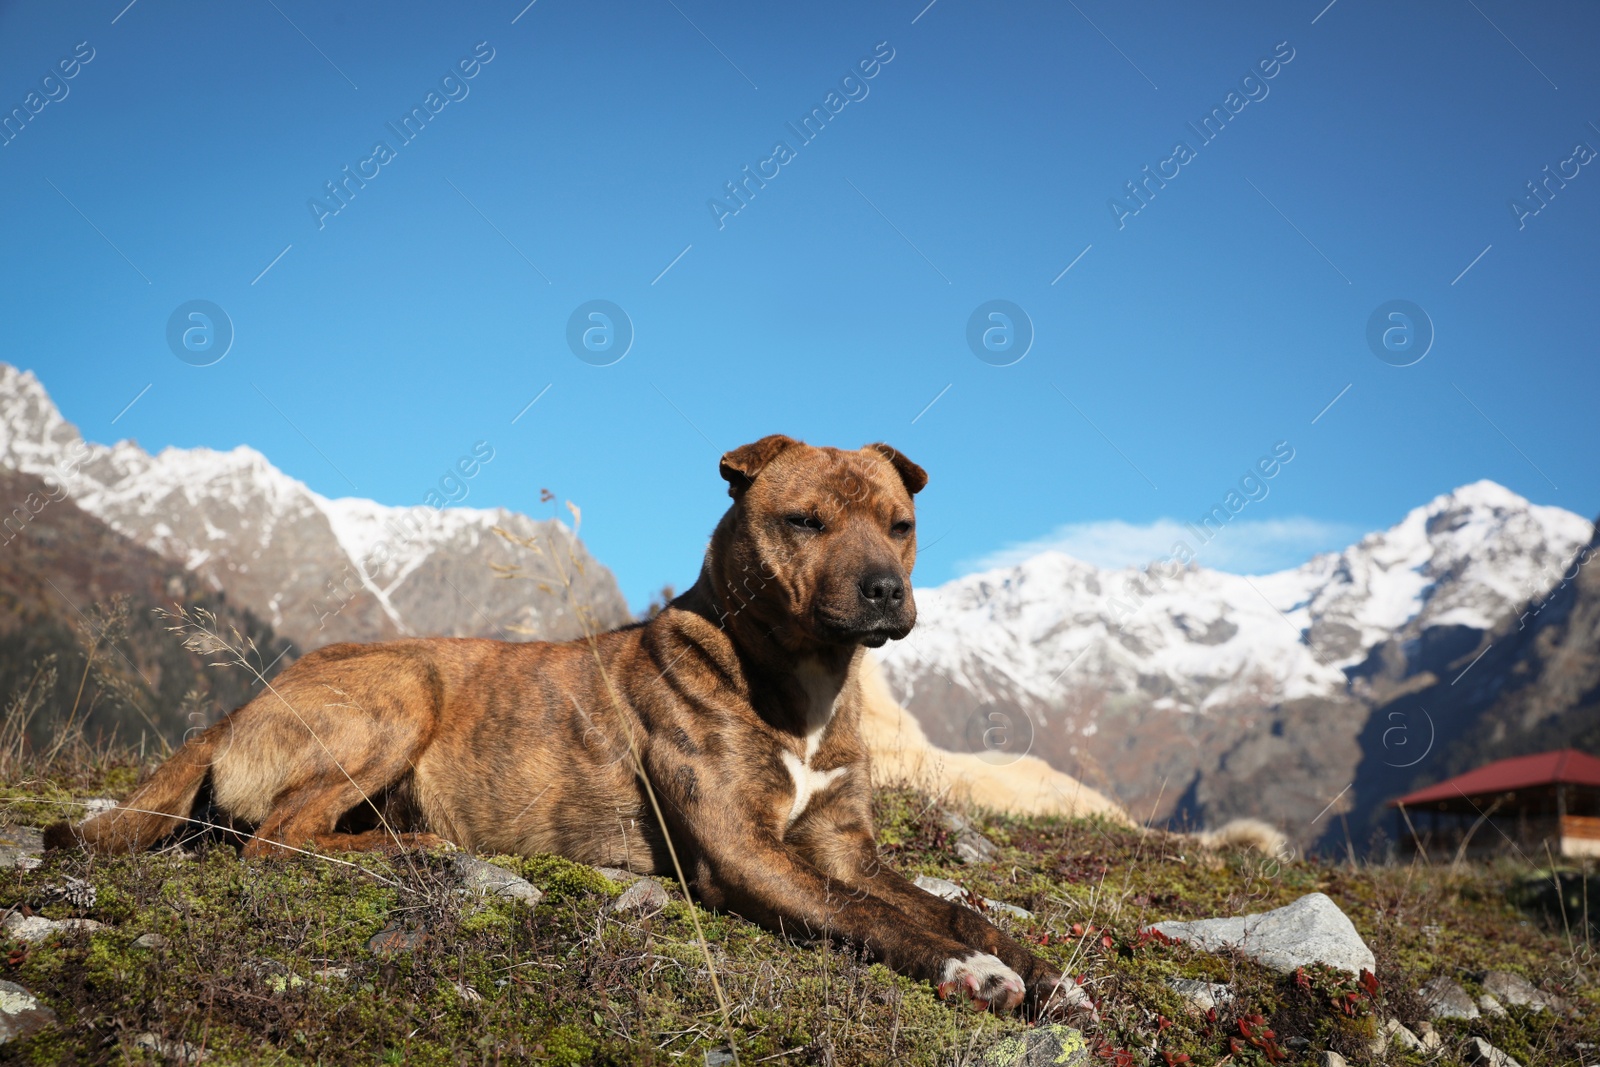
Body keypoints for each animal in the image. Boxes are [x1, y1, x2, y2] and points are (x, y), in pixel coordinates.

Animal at [53, 435, 1062, 1017]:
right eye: (805, 520)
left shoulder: (848, 847)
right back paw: (416, 849)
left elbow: (952, 905)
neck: (800, 684)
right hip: (405, 688)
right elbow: (870, 916)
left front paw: (1045, 973)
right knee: (275, 839)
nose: (887, 589)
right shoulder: (743, 851)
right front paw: (972, 971)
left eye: (900, 523)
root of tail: (238, 705)